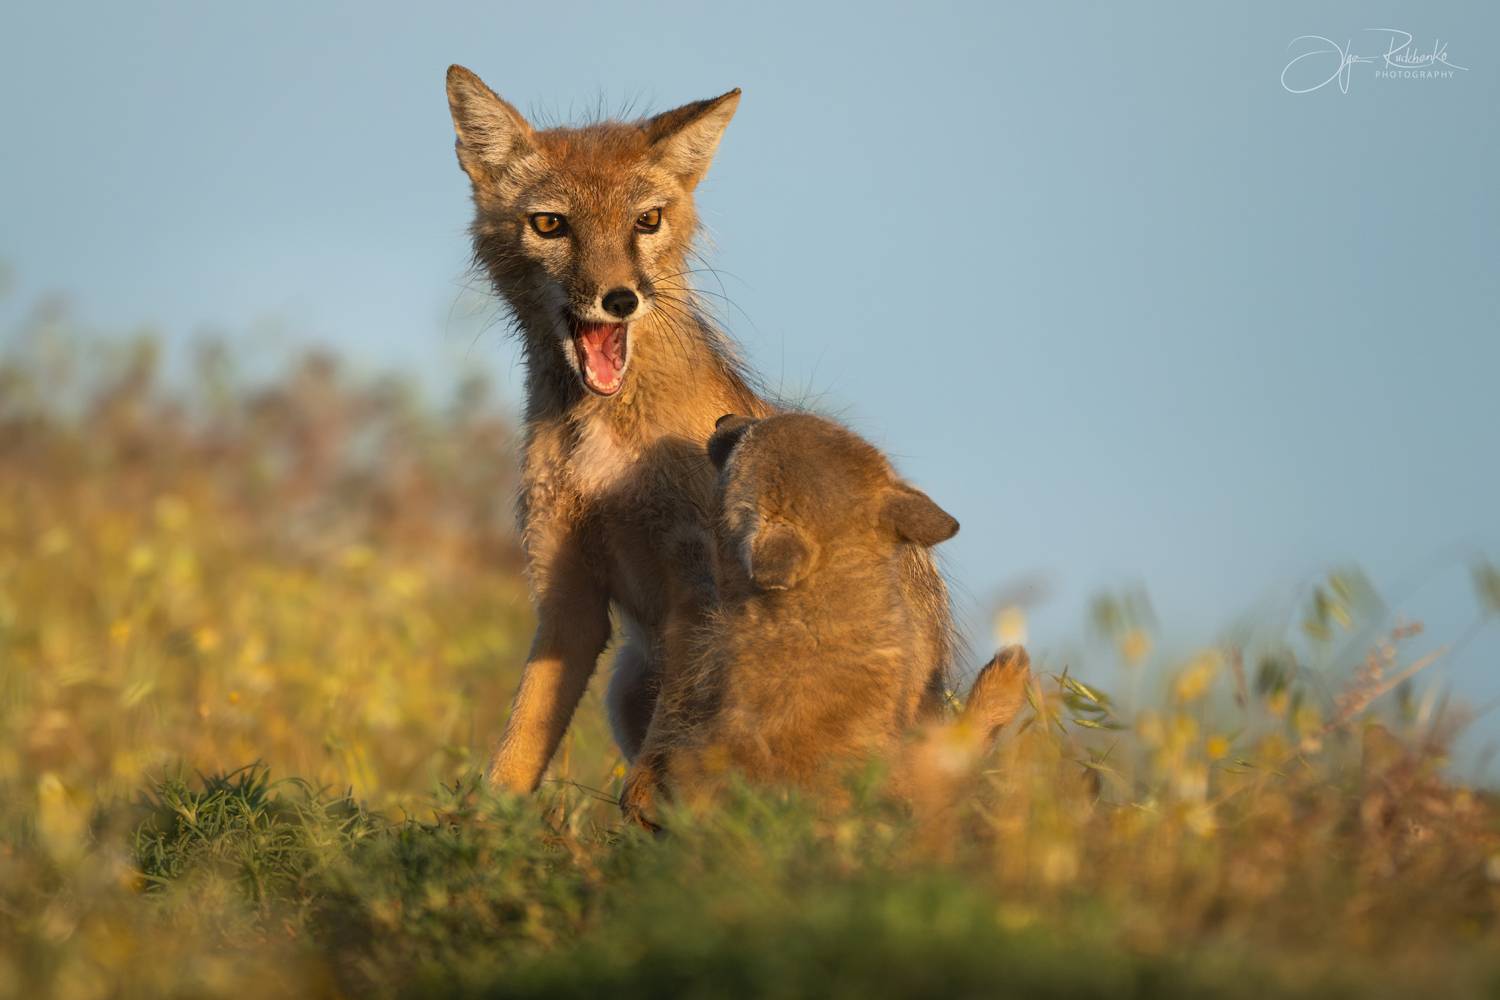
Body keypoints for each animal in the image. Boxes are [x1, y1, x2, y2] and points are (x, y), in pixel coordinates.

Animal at [444, 66, 955, 807]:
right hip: (626, 685)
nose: (620, 298)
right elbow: (515, 752)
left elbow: (658, 768)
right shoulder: (567, 598)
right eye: (550, 225)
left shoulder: (699, 592)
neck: (601, 449)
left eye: (646, 221)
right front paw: (483, 828)